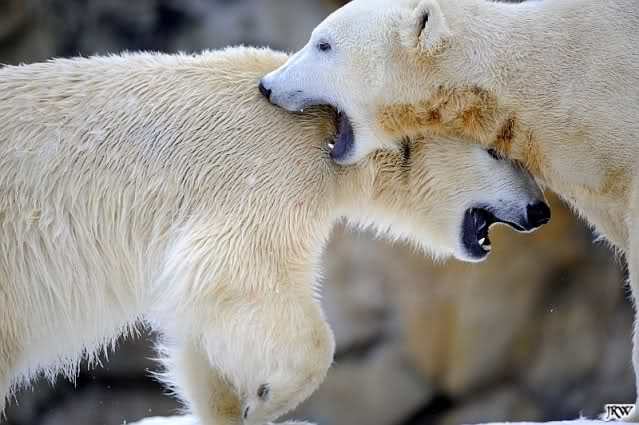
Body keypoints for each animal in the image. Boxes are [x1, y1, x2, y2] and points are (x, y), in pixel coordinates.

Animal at [0, 46, 548, 424]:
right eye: (497, 152)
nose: (539, 210)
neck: (330, 122)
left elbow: (199, 311)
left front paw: (227, 406)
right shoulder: (270, 168)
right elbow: (239, 273)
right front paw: (265, 401)